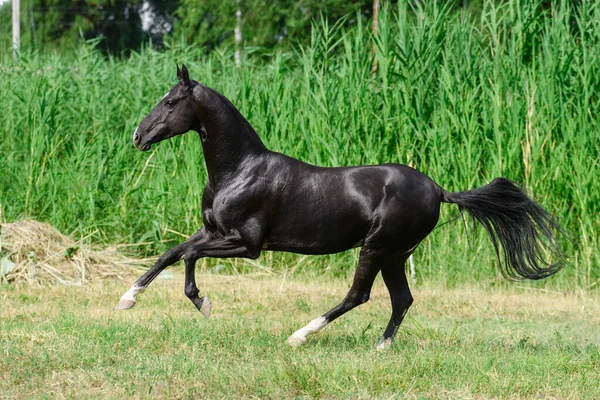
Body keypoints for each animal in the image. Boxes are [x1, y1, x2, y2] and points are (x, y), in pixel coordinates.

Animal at [116, 65, 564, 350]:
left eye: (171, 102)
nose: (138, 137)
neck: (239, 170)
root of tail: (438, 190)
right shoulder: (213, 231)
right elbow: (170, 253)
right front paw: (127, 300)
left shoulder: (247, 243)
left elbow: (189, 256)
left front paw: (204, 304)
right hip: (394, 255)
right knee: (402, 300)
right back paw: (380, 349)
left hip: (377, 248)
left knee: (358, 295)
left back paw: (299, 336)